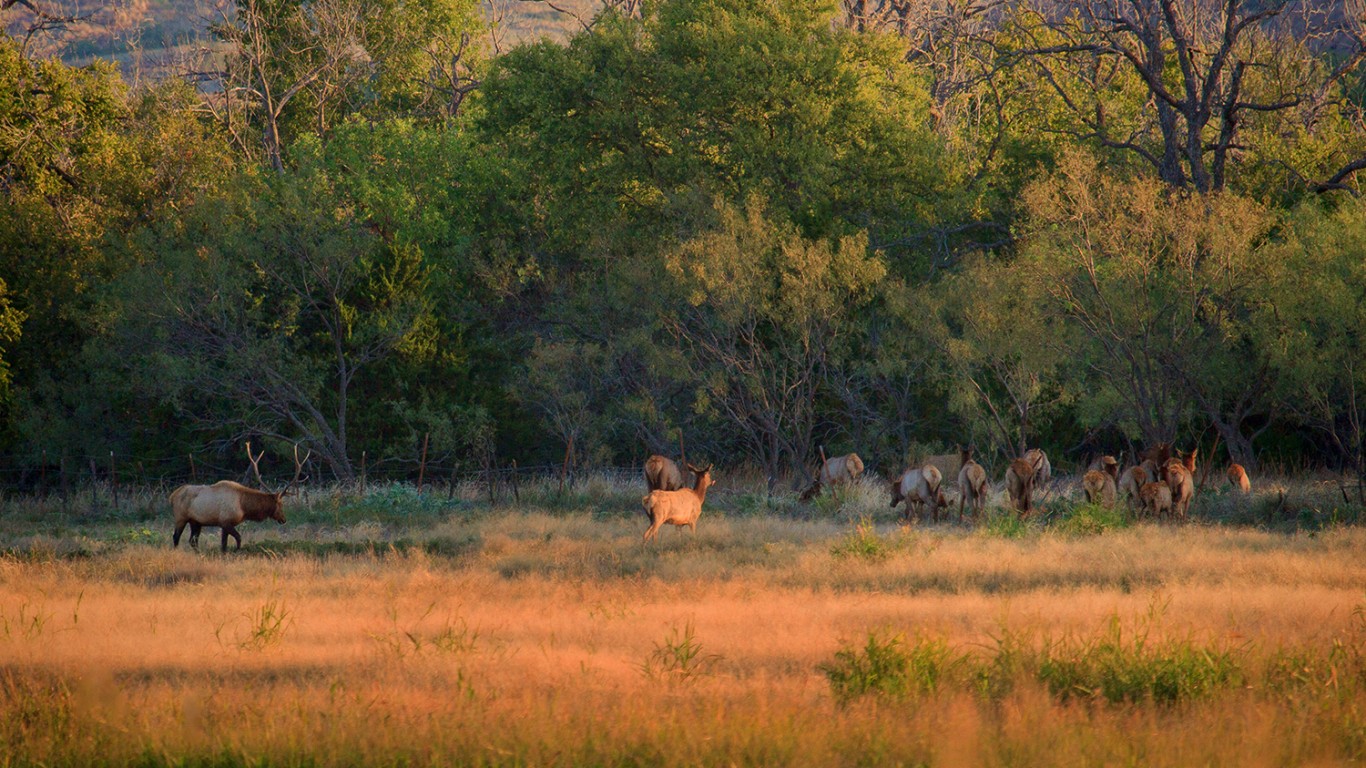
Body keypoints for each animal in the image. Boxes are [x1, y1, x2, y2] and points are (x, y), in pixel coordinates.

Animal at [169, 437, 308, 549]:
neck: (244, 507)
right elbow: (238, 539)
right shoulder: (226, 522)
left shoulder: (224, 524)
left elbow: (224, 545)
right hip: (180, 517)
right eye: (280, 504)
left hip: (196, 521)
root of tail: (172, 495)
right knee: (176, 537)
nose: (284, 519)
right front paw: (237, 551)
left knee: (193, 541)